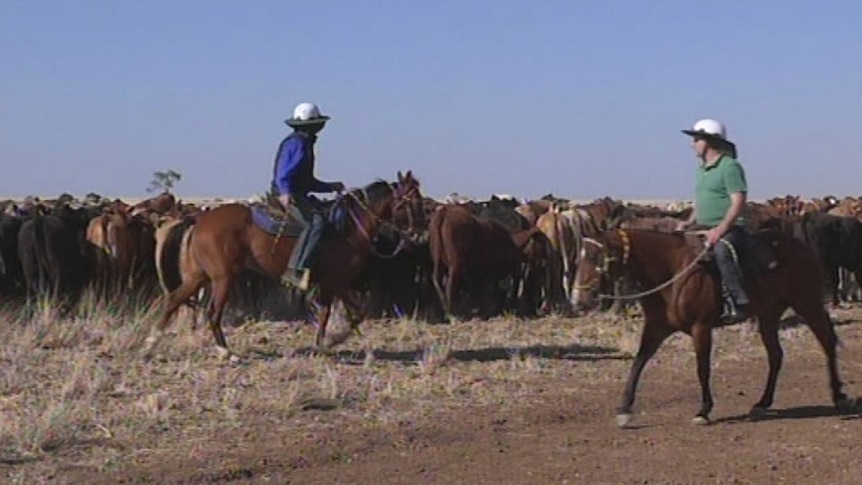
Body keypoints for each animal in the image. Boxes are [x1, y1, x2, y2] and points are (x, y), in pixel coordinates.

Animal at [144, 171, 426, 360]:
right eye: (413, 201)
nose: (420, 232)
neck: (348, 229)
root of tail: (199, 220)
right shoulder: (337, 281)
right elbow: (355, 312)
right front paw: (336, 341)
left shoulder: (332, 284)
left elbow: (333, 314)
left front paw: (325, 345)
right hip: (223, 278)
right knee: (213, 312)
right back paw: (226, 352)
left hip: (199, 276)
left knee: (173, 300)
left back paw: (150, 343)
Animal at [572, 229, 856, 426]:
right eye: (579, 258)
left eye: (595, 256)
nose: (578, 299)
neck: (672, 272)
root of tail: (802, 247)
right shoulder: (656, 328)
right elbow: (638, 363)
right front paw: (623, 410)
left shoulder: (701, 328)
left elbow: (702, 368)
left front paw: (703, 410)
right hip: (768, 315)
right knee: (776, 355)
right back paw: (763, 402)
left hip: (807, 303)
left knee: (827, 342)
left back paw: (839, 396)